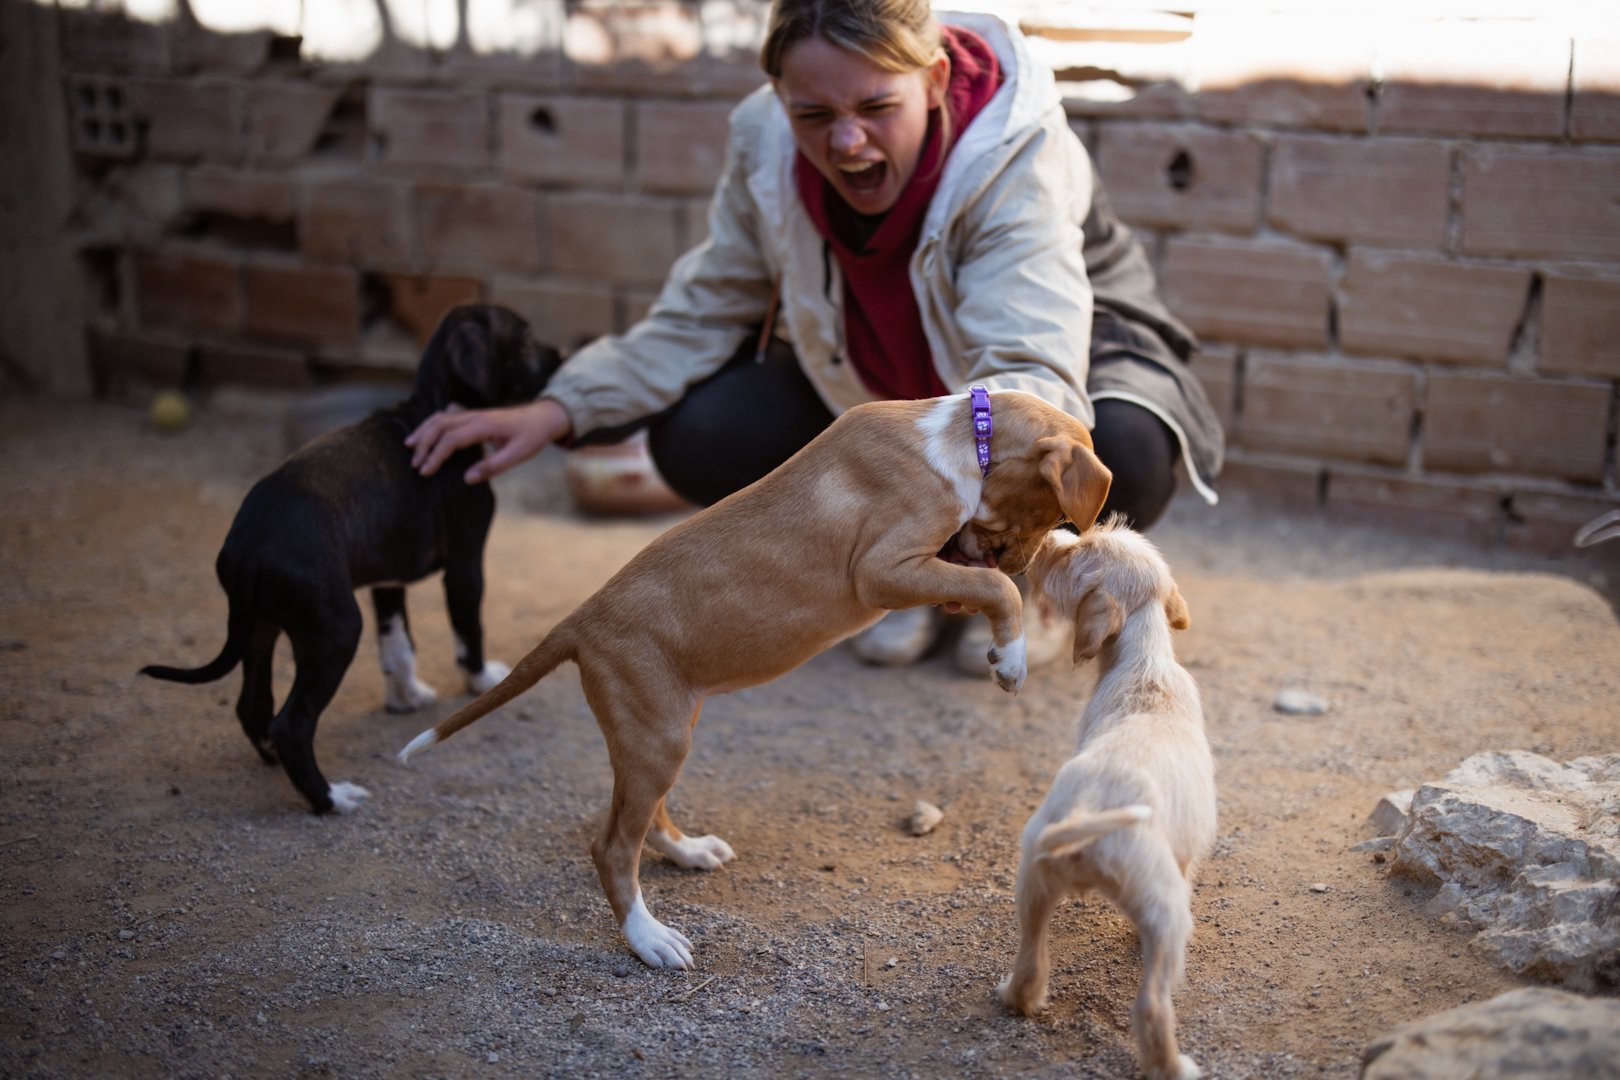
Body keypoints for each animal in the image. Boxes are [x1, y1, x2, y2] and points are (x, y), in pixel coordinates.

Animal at [141, 304, 561, 815]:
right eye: (525, 339)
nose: (561, 354)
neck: (433, 408)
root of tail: (245, 546)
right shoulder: (466, 563)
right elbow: (469, 631)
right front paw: (481, 679)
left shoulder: (388, 579)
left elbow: (399, 644)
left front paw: (406, 697)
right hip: (336, 627)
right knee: (292, 724)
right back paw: (331, 799)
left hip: (263, 625)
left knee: (253, 705)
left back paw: (276, 762)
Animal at [399, 389, 1113, 968]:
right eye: (1051, 514)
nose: (1026, 561)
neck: (966, 436)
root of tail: (580, 622)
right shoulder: (881, 568)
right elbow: (994, 589)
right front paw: (1011, 656)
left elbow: (977, 582)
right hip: (657, 733)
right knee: (612, 848)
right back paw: (649, 939)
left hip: (662, 727)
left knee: (640, 817)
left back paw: (688, 853)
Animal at [999, 520, 1215, 1080]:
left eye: (1077, 552)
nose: (1049, 537)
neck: (1145, 659)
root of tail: (1088, 813)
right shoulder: (1186, 859)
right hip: (1166, 915)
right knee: (1152, 1007)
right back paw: (1174, 1066)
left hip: (1031, 882)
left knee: (1030, 961)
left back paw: (1016, 998)